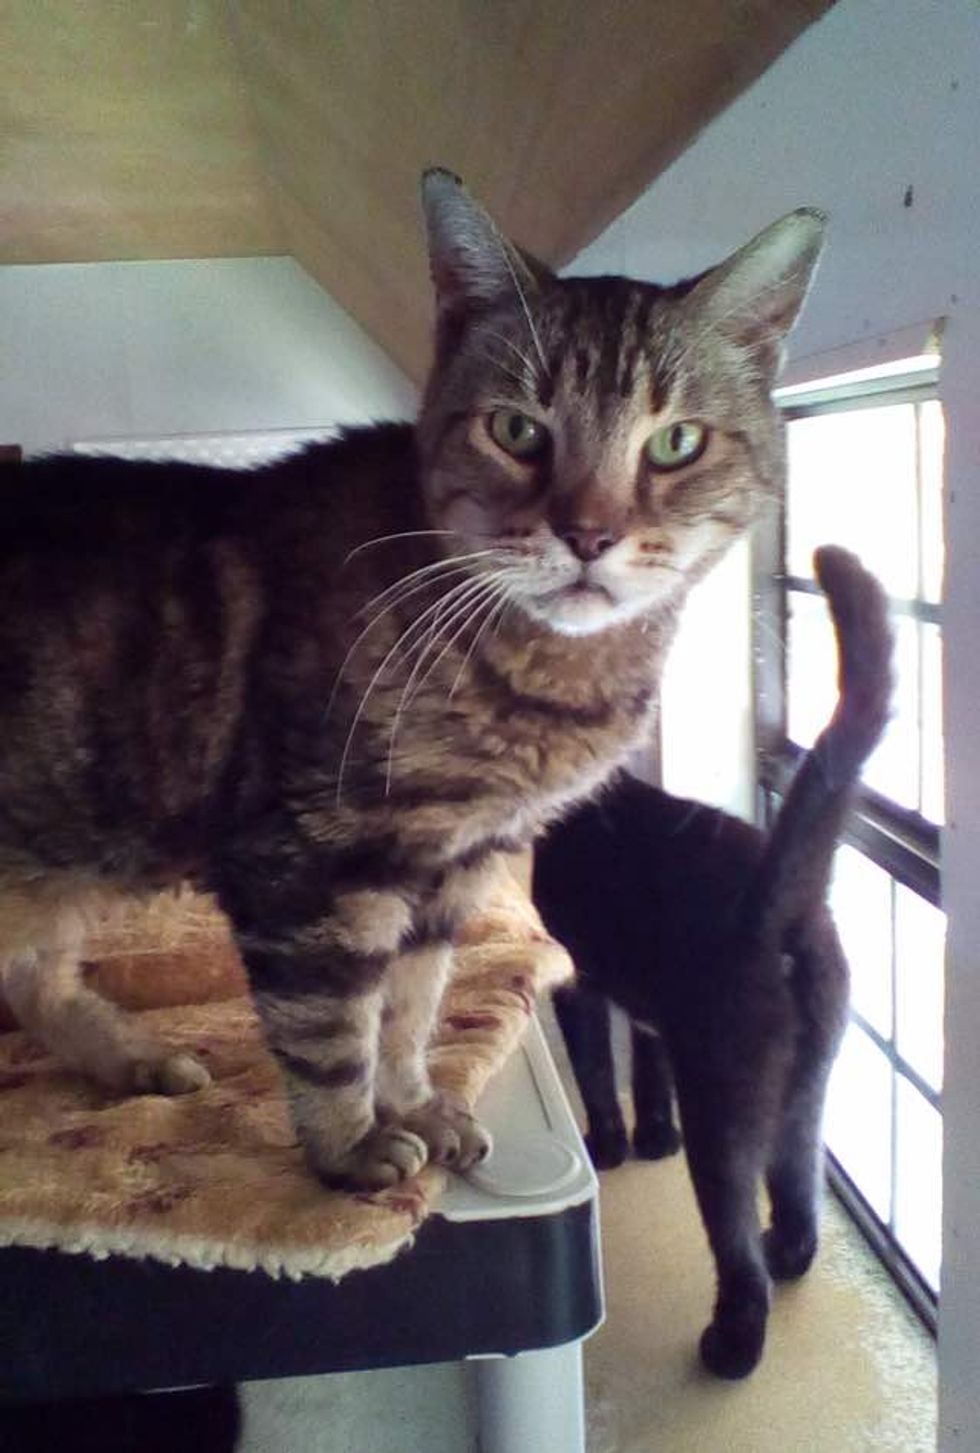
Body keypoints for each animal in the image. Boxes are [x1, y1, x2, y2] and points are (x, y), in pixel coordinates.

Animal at [0, 170, 824, 1191]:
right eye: (517, 430)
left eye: (676, 444)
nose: (588, 533)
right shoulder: (310, 863)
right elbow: (332, 1027)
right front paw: (351, 1148)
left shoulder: (452, 870)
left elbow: (411, 1006)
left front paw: (416, 1105)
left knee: (33, 975)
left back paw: (133, 1059)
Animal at [532, 544, 893, 1377]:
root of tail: (777, 902)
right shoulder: (648, 1006)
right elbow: (646, 1066)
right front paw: (651, 1135)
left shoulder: (578, 982)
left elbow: (595, 1067)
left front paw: (610, 1145)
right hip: (805, 1090)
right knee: (796, 1197)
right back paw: (785, 1250)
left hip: (725, 1109)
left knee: (736, 1250)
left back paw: (732, 1343)